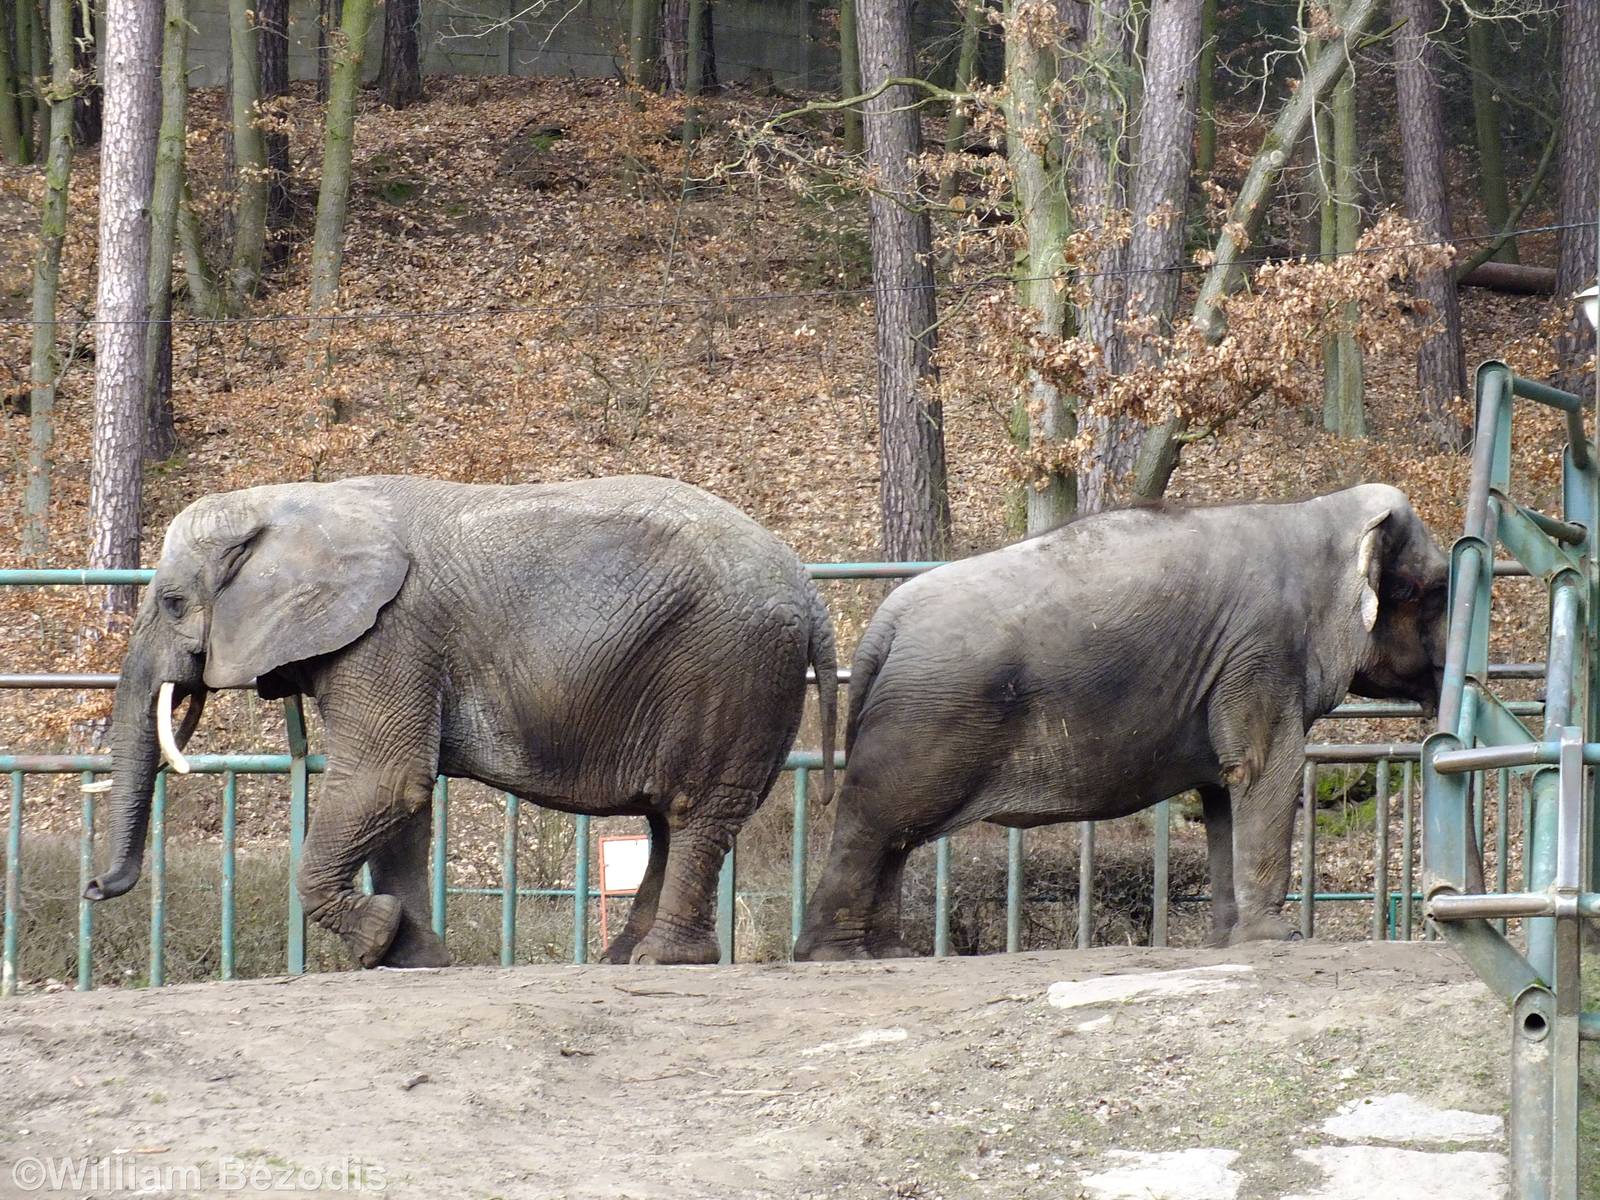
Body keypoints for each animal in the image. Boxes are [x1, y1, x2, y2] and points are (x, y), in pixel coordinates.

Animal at [85, 474, 837, 968]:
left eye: (173, 602)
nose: (94, 887)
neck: (297, 500)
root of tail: (807, 586)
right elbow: (400, 805)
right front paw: (412, 957)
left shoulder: (388, 636)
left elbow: (386, 780)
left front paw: (378, 937)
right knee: (664, 821)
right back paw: (622, 958)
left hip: (732, 666)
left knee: (693, 813)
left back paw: (661, 961)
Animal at [793, 484, 1447, 960]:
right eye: (1425, 590)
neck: (1316, 513)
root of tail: (884, 624)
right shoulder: (1262, 649)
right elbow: (1265, 770)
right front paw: (1275, 941)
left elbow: (1222, 793)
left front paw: (1223, 943)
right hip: (923, 721)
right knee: (875, 823)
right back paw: (837, 957)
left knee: (891, 836)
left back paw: (885, 953)